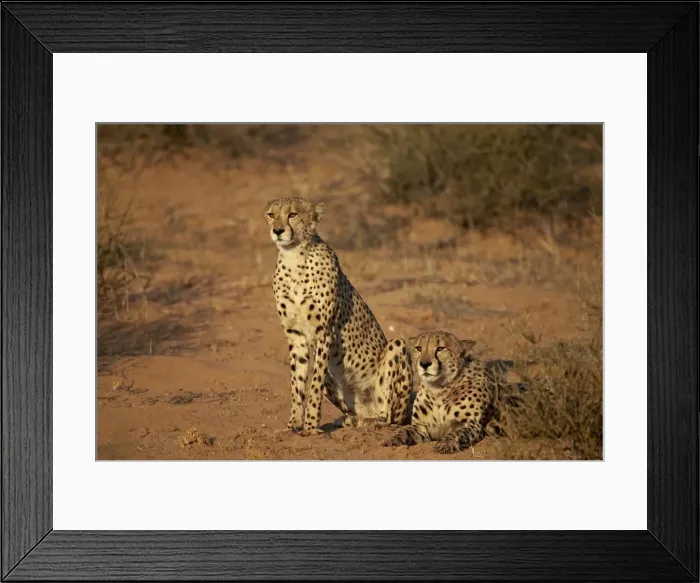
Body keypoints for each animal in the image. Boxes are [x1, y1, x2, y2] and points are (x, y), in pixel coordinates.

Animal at [265, 197, 413, 436]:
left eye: (293, 214)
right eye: (271, 215)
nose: (277, 230)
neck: (294, 257)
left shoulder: (324, 332)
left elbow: (313, 384)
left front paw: (310, 426)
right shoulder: (295, 335)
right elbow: (297, 383)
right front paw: (293, 425)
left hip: (397, 348)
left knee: (391, 417)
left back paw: (373, 421)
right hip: (334, 380)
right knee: (355, 411)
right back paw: (349, 419)